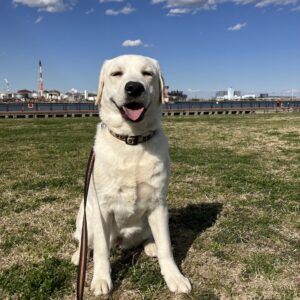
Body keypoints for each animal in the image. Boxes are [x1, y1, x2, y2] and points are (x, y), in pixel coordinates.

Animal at [71, 54, 191, 296]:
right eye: (116, 73)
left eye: (147, 73)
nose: (134, 87)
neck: (132, 141)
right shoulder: (101, 208)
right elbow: (101, 251)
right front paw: (101, 279)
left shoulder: (158, 204)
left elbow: (166, 247)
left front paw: (174, 277)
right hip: (86, 213)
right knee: (86, 241)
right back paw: (78, 256)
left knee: (148, 237)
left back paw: (151, 245)